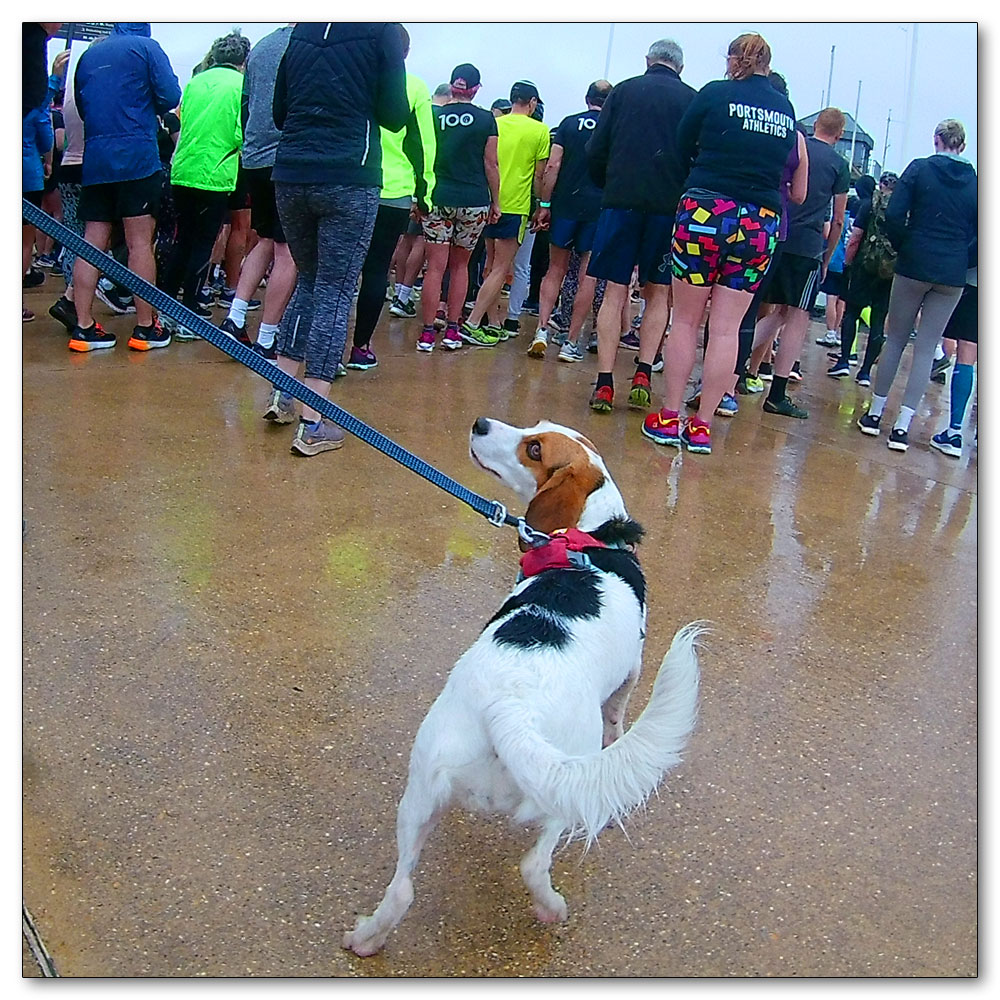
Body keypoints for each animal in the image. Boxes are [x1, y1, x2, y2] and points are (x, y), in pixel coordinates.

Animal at [346, 418, 704, 956]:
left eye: (535, 444)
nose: (480, 423)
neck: (591, 538)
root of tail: (508, 705)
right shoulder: (633, 672)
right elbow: (617, 719)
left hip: (420, 792)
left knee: (402, 890)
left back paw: (367, 938)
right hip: (561, 785)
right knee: (535, 864)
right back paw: (552, 909)